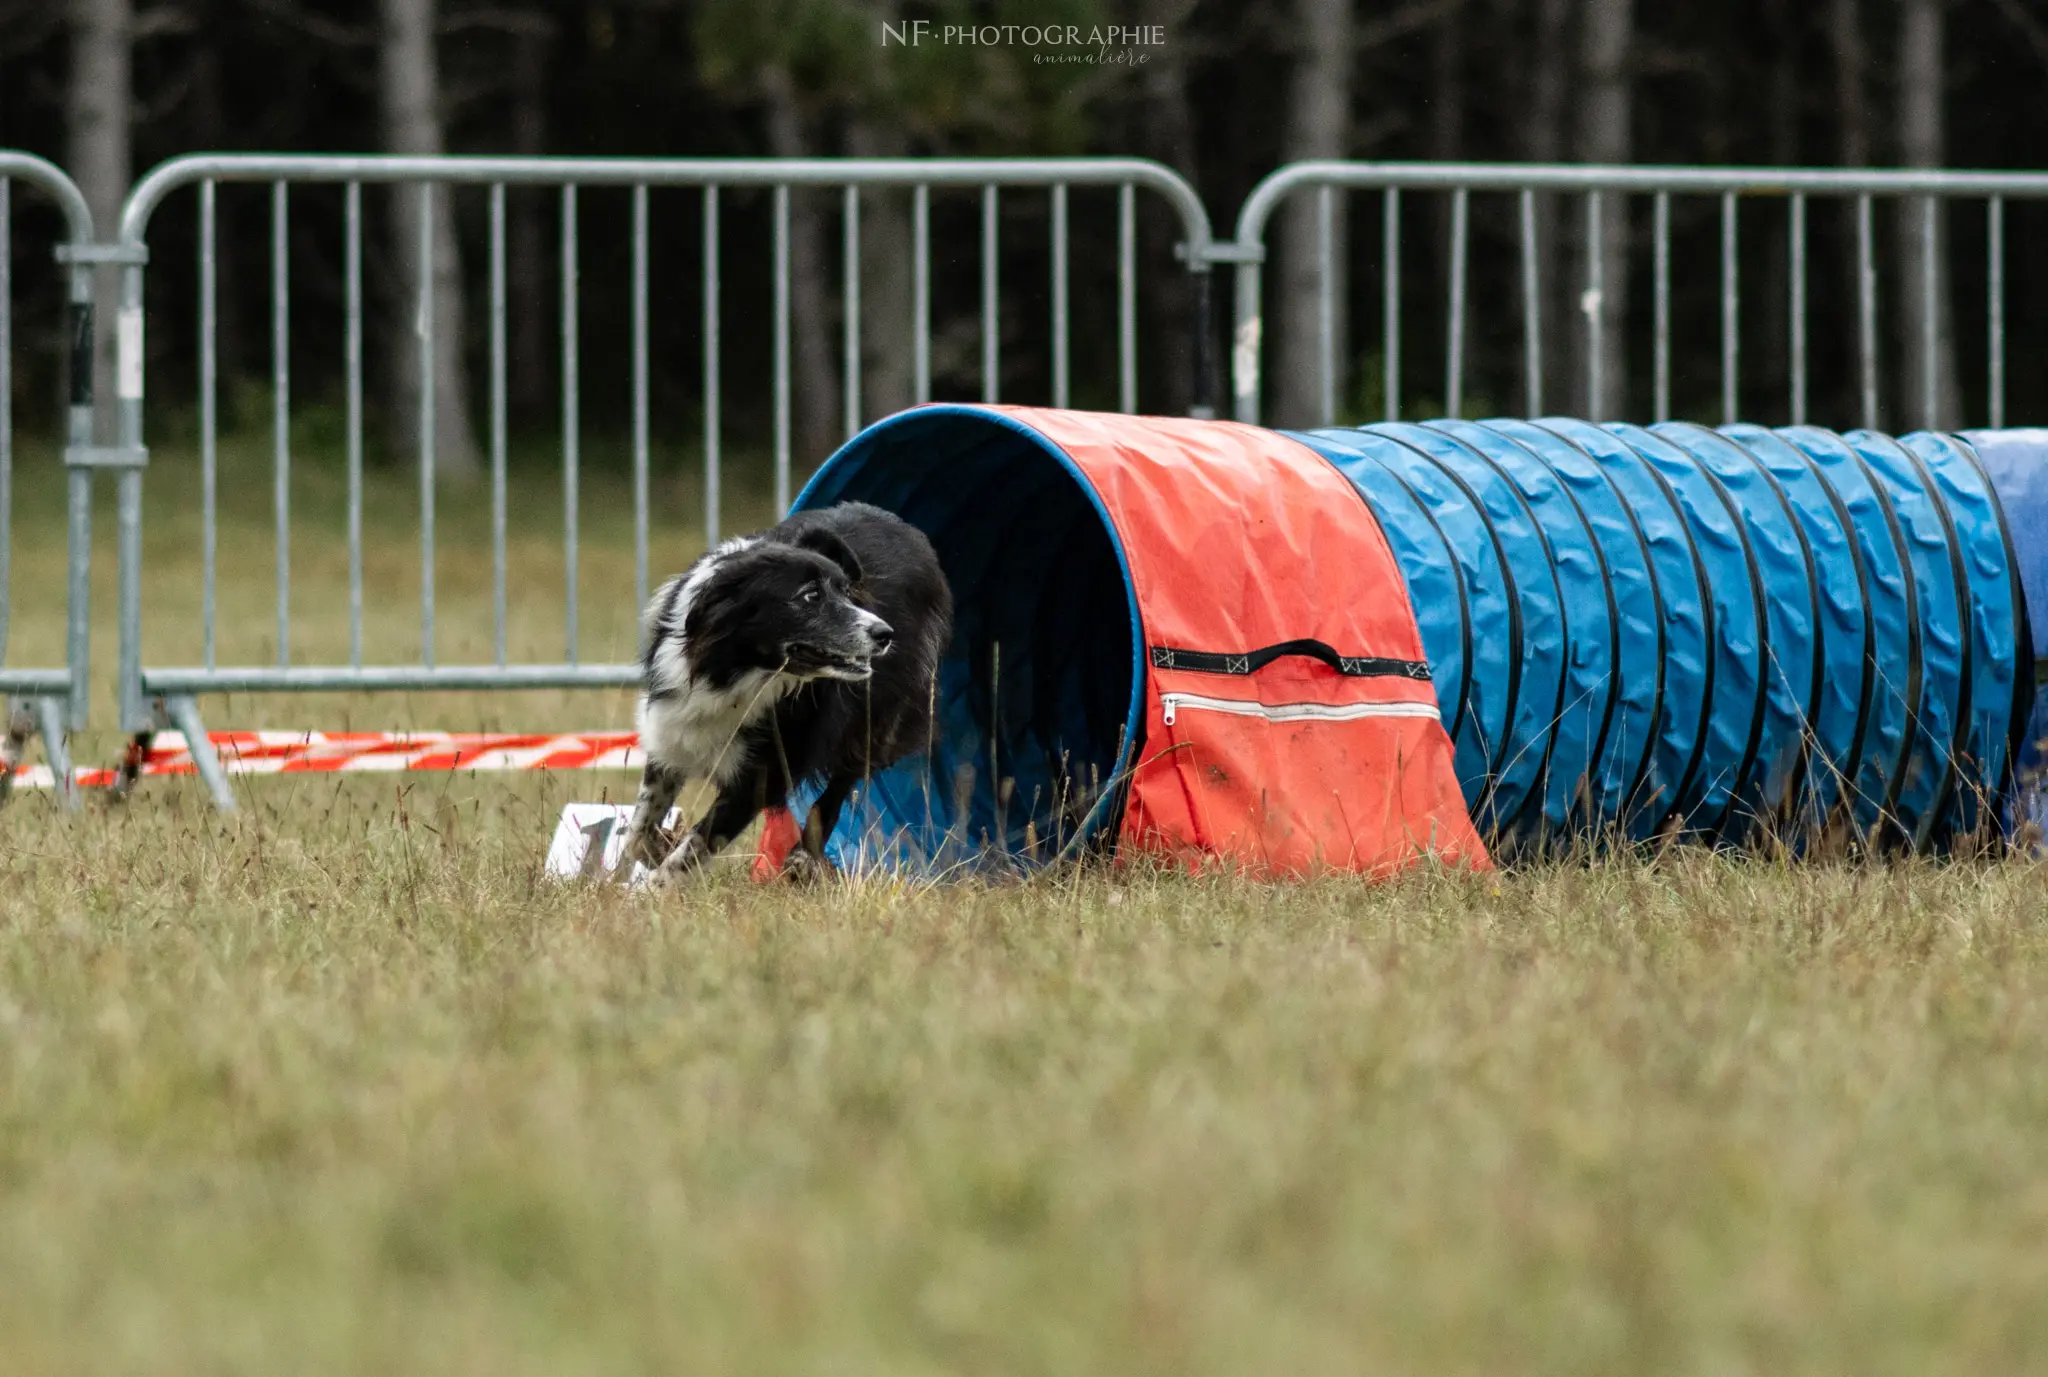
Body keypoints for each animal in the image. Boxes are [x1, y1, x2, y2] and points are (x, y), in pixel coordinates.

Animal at [622, 499, 950, 877]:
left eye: (847, 593)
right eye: (811, 596)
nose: (885, 634)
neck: (739, 672)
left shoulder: (765, 772)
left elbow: (691, 850)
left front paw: (655, 884)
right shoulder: (672, 730)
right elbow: (639, 828)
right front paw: (657, 847)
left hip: (880, 713)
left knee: (842, 781)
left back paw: (803, 858)